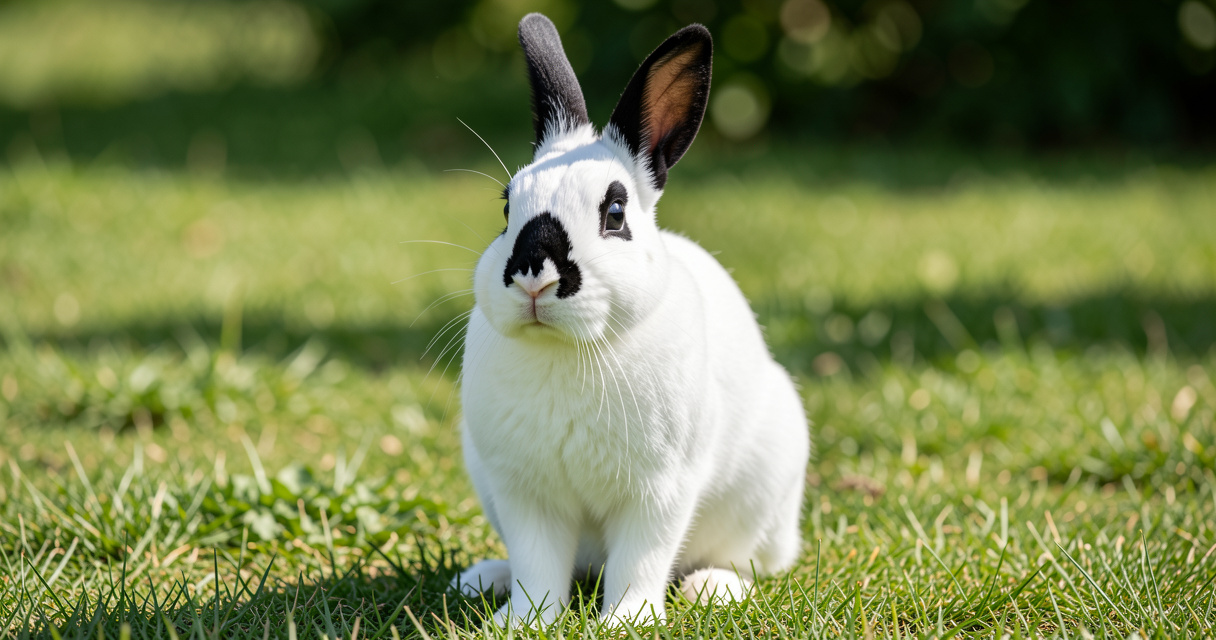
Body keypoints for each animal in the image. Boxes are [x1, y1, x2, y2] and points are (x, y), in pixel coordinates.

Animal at [449, 12, 810, 628]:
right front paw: (523, 622)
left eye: (615, 213)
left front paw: (627, 622)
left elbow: (641, 560)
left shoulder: (659, 491)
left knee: (748, 561)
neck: (567, 350)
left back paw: (713, 589)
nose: (532, 276)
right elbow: (537, 566)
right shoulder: (525, 495)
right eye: (506, 208)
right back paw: (481, 579)